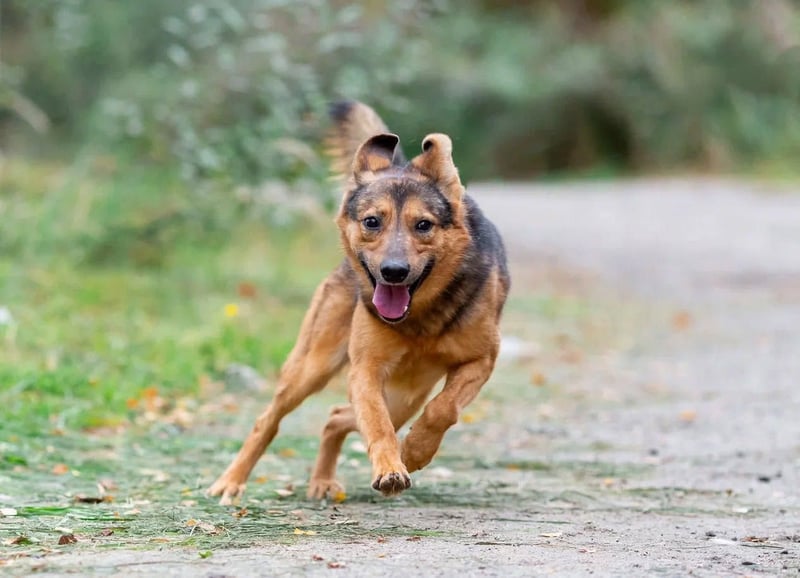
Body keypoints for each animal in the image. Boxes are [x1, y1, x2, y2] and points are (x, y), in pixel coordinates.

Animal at [207, 101, 510, 504]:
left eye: (424, 225)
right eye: (372, 221)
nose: (394, 271)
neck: (420, 318)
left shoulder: (481, 360)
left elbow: (443, 409)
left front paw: (415, 450)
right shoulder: (365, 370)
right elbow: (377, 426)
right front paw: (391, 468)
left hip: (406, 396)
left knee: (337, 416)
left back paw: (323, 480)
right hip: (313, 367)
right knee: (268, 420)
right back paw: (231, 481)